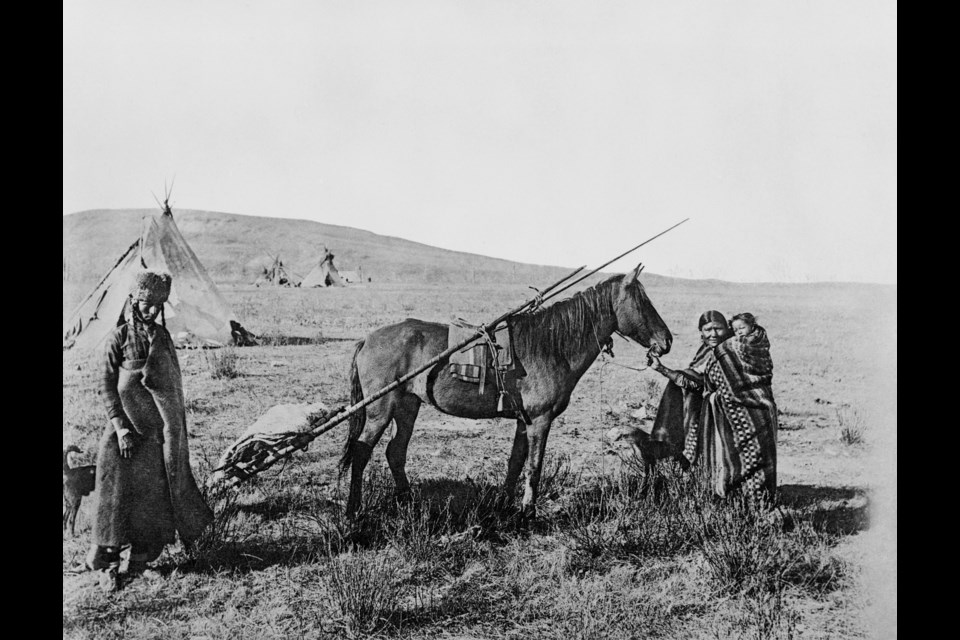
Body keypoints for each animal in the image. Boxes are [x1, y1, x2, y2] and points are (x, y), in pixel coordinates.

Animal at [342, 262, 672, 516]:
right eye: (642, 302)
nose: (666, 341)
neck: (551, 346)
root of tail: (367, 339)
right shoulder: (540, 420)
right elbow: (534, 466)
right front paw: (528, 510)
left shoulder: (524, 421)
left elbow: (515, 463)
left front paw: (505, 505)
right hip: (380, 410)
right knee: (361, 451)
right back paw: (353, 510)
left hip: (407, 407)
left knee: (395, 452)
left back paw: (408, 501)